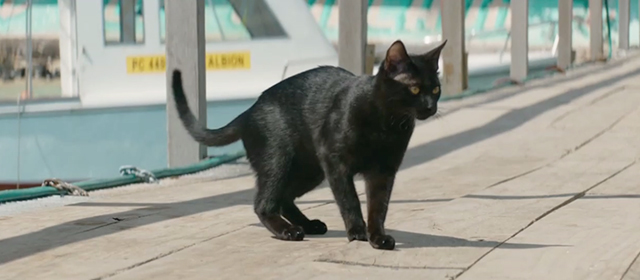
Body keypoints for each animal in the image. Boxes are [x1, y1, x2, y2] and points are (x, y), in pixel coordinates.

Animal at [172, 38, 448, 249]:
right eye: (414, 89)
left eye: (436, 90)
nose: (430, 107)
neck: (386, 125)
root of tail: (249, 111)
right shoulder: (335, 162)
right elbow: (349, 200)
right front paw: (357, 232)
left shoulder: (383, 171)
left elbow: (379, 207)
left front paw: (377, 237)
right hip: (280, 162)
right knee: (263, 203)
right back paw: (289, 231)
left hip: (310, 171)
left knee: (284, 198)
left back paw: (308, 224)